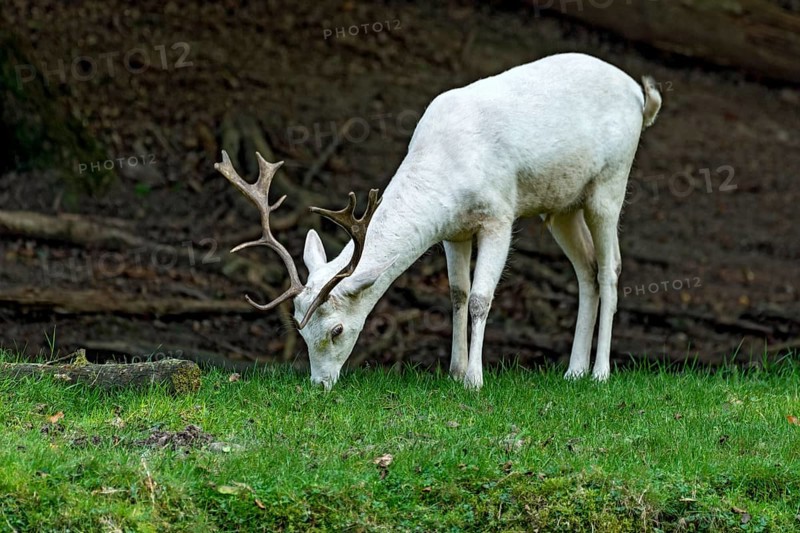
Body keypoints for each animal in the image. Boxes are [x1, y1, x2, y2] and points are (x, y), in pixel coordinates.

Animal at [215, 53, 661, 390]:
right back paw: (573, 371)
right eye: (299, 327)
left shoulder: (499, 214)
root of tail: (640, 95)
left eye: (337, 330)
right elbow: (457, 294)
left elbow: (481, 297)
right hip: (562, 207)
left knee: (610, 268)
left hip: (610, 183)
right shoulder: (453, 232)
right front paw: (455, 371)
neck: (447, 168)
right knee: (586, 269)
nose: (319, 384)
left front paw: (476, 380)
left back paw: (601, 373)